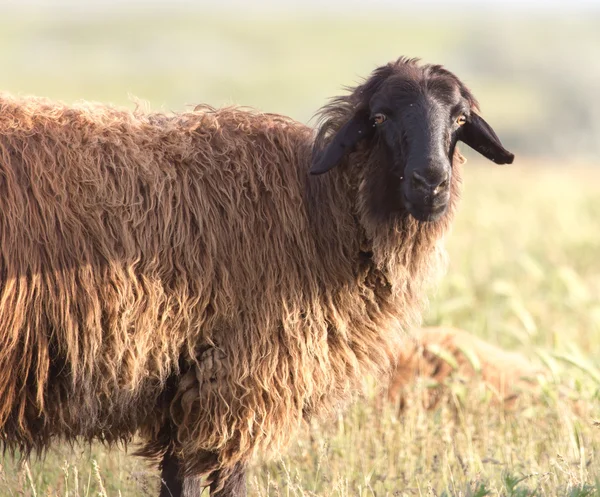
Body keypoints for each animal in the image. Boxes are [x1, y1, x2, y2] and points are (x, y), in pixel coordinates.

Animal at [0, 56, 516, 494]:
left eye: (460, 119)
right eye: (381, 118)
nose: (431, 184)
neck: (320, 208)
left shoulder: (189, 395)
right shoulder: (231, 382)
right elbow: (214, 482)